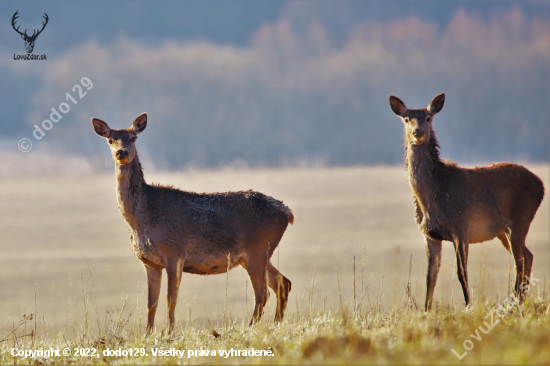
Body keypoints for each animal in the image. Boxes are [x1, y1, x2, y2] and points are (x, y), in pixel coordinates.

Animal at [92, 113, 296, 334]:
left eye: (133, 138)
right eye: (110, 140)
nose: (121, 152)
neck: (142, 218)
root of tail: (287, 212)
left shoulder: (175, 253)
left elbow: (170, 299)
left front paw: (169, 333)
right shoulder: (149, 262)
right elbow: (151, 302)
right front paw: (147, 334)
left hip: (257, 250)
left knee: (263, 293)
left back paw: (251, 327)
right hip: (257, 255)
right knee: (283, 283)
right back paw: (276, 324)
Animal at [390, 93, 544, 308]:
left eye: (428, 118)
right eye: (406, 119)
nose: (417, 131)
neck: (431, 200)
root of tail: (541, 185)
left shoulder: (461, 227)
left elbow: (461, 272)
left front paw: (468, 305)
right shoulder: (429, 234)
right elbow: (431, 276)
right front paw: (426, 310)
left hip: (522, 218)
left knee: (519, 261)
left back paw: (514, 301)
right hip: (503, 230)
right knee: (527, 256)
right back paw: (519, 300)